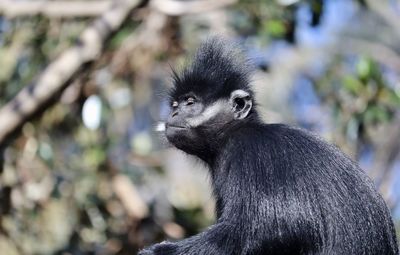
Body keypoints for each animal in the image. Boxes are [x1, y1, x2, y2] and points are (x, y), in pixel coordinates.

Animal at [139, 38, 398, 255]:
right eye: (175, 104)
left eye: (190, 102)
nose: (173, 113)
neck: (234, 132)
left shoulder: (247, 152)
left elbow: (281, 226)